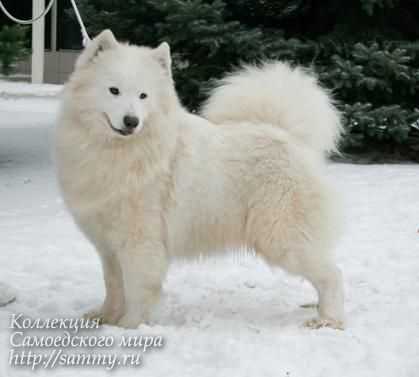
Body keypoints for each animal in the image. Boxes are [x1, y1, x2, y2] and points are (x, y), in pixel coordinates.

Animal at [55, 30, 344, 328]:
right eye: (114, 91)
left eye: (143, 95)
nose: (131, 121)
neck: (118, 151)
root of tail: (290, 137)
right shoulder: (107, 245)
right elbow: (113, 285)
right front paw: (106, 318)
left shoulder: (140, 241)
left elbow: (136, 288)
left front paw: (129, 326)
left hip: (283, 237)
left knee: (332, 275)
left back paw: (328, 319)